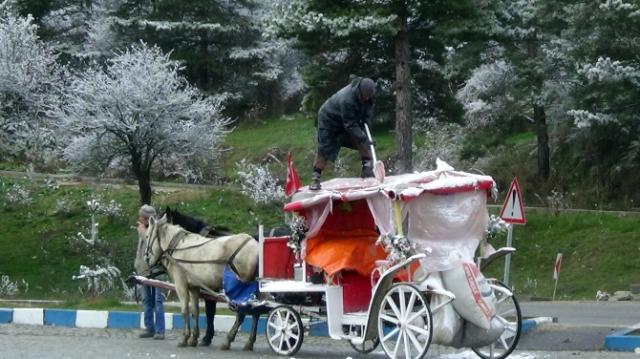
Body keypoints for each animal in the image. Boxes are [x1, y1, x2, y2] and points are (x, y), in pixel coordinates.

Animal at [146, 215, 260, 348]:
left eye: (147, 236)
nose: (147, 259)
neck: (179, 247)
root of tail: (256, 246)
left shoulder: (181, 285)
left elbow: (185, 310)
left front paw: (185, 338)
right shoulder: (194, 288)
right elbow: (195, 311)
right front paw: (194, 338)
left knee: (242, 313)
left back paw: (228, 340)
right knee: (256, 312)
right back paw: (249, 342)